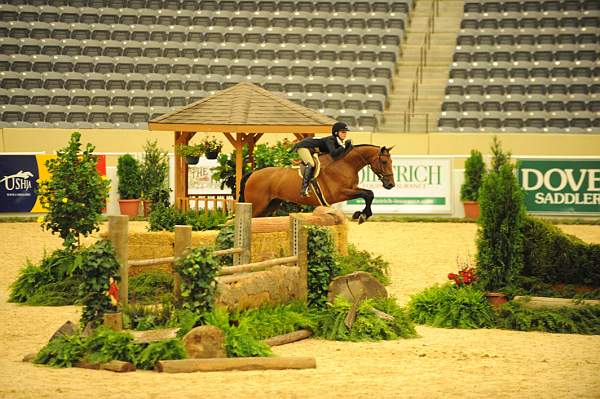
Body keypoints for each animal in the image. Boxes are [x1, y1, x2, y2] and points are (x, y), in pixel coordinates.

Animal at [241, 145, 396, 222]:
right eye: (384, 162)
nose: (391, 185)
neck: (345, 164)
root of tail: (253, 174)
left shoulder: (351, 188)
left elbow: (368, 194)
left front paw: (361, 214)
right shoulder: (340, 193)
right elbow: (368, 194)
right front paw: (362, 215)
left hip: (270, 205)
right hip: (257, 205)